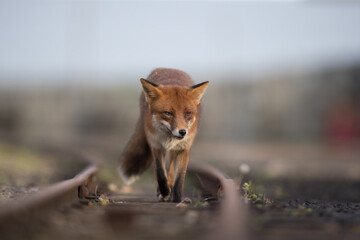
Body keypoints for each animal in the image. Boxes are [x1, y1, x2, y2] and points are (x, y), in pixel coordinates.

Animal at [117, 68, 208, 202]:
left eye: (188, 114)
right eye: (168, 113)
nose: (183, 132)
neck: (169, 138)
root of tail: (170, 68)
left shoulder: (184, 149)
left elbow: (179, 179)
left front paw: (177, 199)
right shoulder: (156, 145)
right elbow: (160, 173)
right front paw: (164, 191)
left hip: (173, 151)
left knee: (170, 170)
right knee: (160, 171)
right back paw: (162, 192)